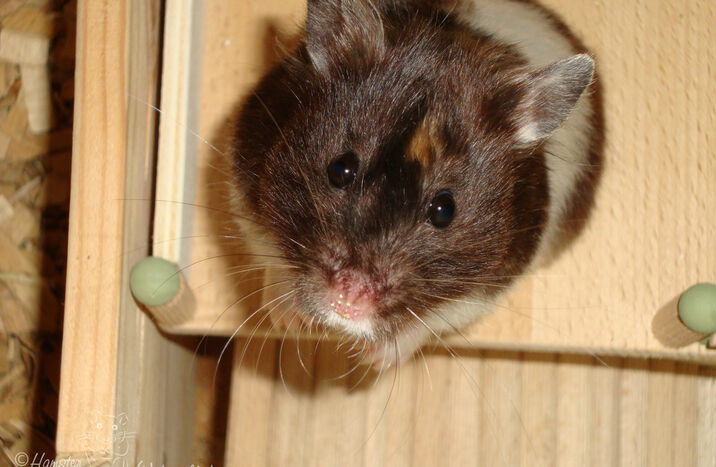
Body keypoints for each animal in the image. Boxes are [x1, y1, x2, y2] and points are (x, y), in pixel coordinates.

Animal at [229, 0, 603, 366]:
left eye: (444, 210)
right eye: (340, 170)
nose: (346, 301)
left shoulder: (483, 291)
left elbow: (425, 325)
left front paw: (371, 360)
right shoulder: (243, 191)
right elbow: (272, 263)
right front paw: (289, 320)